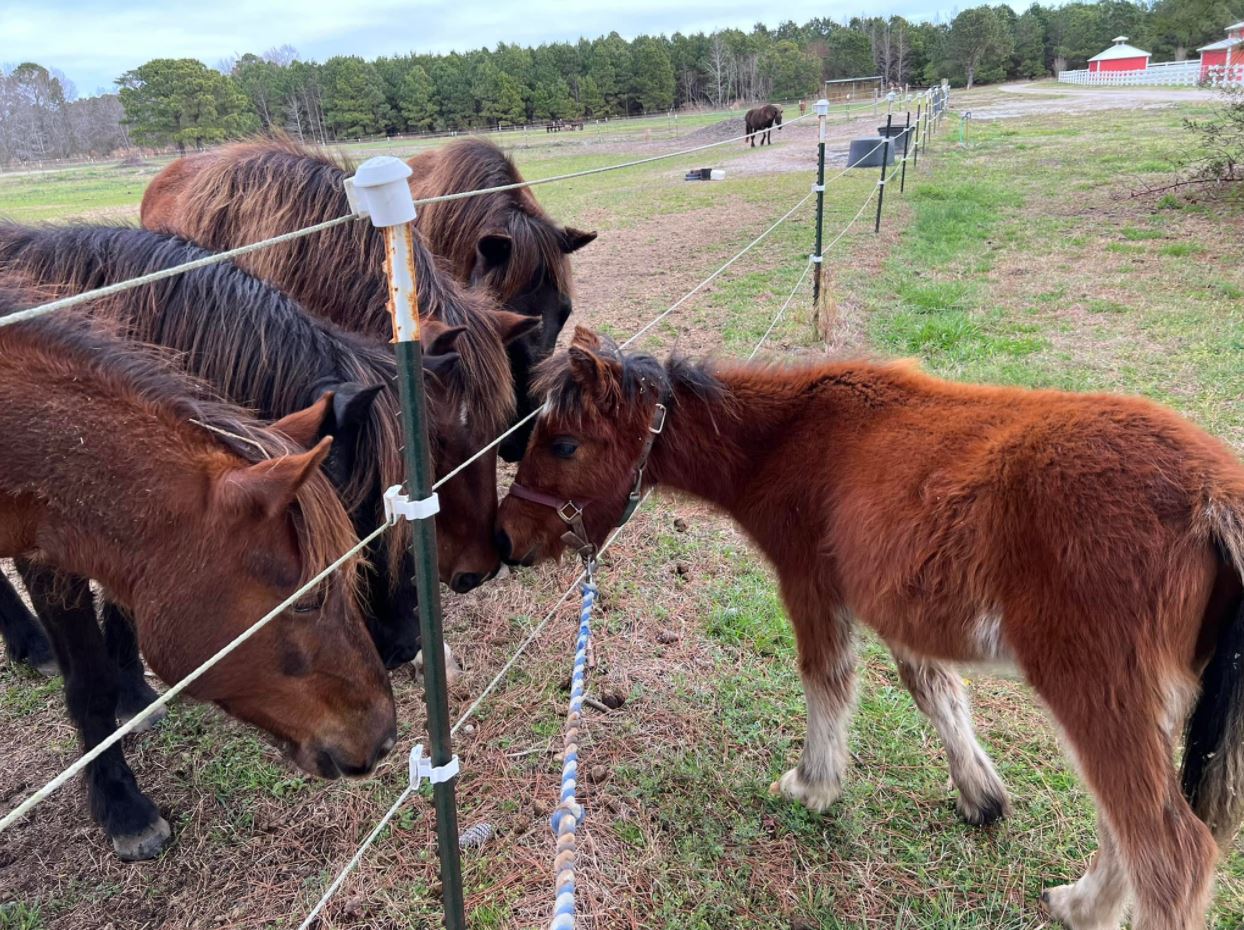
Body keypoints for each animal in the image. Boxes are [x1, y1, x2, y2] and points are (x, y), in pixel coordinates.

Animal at [496, 327, 1244, 930]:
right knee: (1131, 824)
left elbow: (826, 679)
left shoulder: (811, 582)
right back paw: (1082, 906)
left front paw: (812, 785)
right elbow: (935, 692)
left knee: (1167, 850)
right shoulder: (898, 605)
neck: (790, 436)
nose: (505, 538)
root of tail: (1214, 496)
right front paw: (981, 798)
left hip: (1095, 688)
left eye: (564, 444)